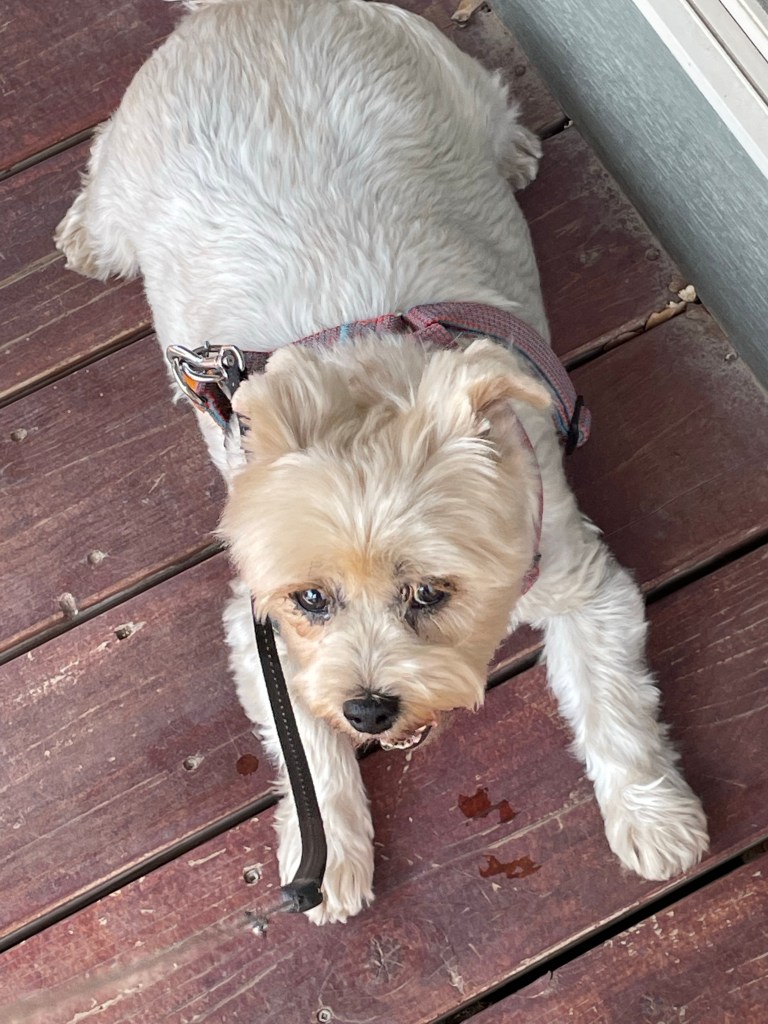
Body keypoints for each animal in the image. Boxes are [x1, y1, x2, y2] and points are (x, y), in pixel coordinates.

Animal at [55, 0, 708, 924]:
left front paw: (653, 819)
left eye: (431, 592)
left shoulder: (581, 580)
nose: (367, 707)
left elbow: (614, 706)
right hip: (128, 172)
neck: (363, 376)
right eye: (310, 599)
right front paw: (328, 856)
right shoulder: (263, 635)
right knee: (101, 190)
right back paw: (85, 239)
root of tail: (250, 10)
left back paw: (514, 148)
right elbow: (305, 749)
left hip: (450, 74)